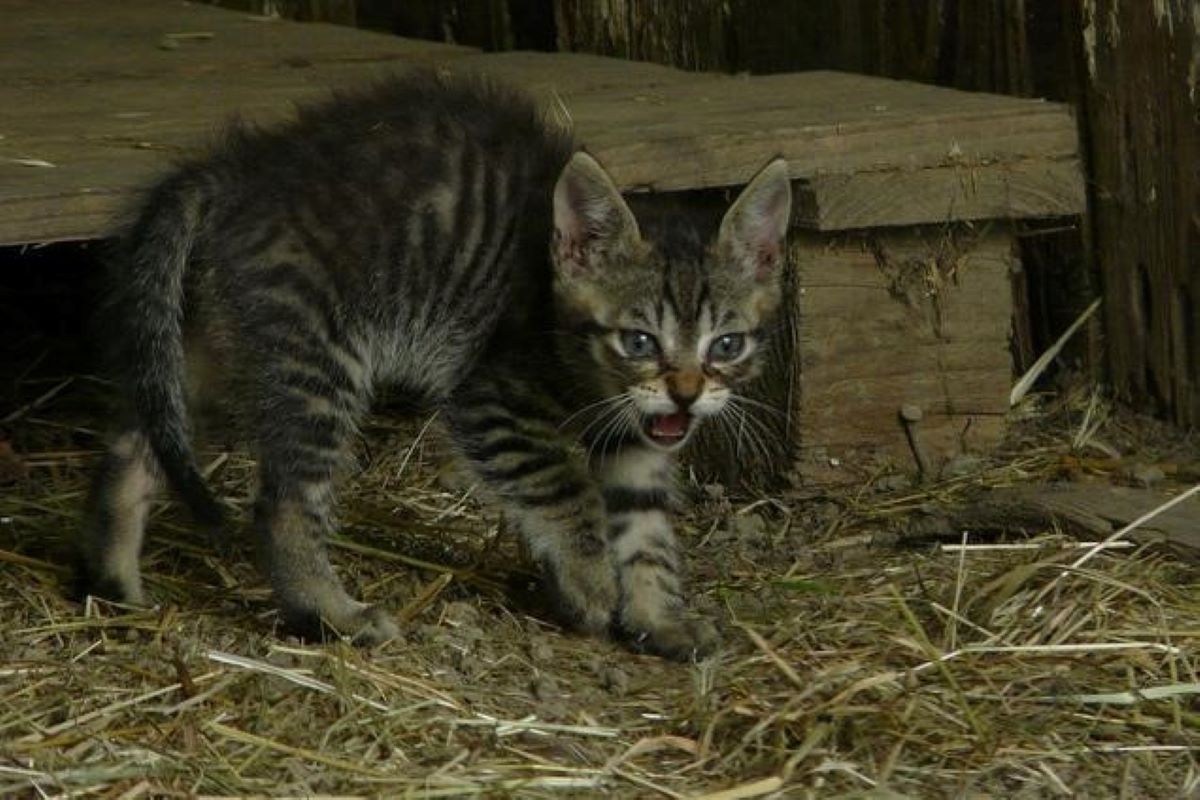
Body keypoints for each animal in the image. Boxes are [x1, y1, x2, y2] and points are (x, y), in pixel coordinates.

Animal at [79, 68, 792, 662]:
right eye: (640, 341)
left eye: (726, 345)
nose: (686, 393)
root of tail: (239, 171)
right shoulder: (492, 399)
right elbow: (565, 487)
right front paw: (590, 582)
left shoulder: (637, 439)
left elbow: (644, 527)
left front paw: (658, 618)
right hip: (316, 358)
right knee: (285, 503)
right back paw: (331, 613)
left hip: (208, 340)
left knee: (136, 438)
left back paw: (112, 582)